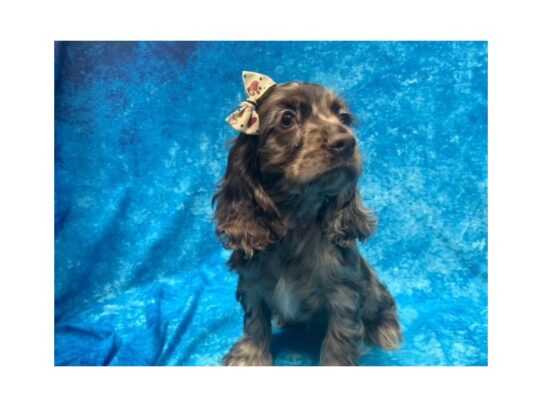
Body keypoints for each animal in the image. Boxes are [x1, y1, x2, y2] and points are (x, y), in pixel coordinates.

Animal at [215, 71, 402, 366]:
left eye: (344, 118)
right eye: (287, 119)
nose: (347, 142)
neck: (296, 225)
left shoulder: (344, 294)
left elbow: (338, 339)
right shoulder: (252, 283)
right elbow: (255, 323)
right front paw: (249, 357)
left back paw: (386, 331)